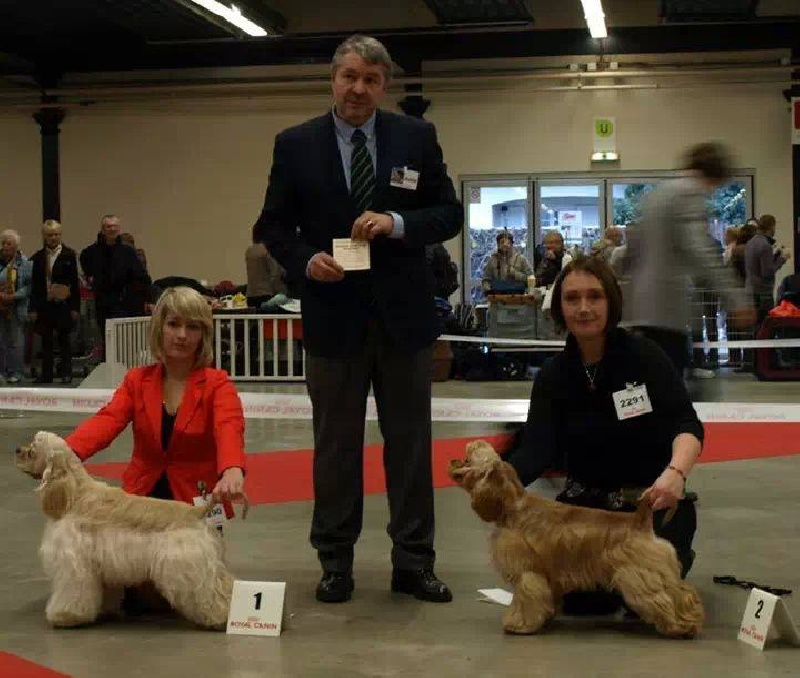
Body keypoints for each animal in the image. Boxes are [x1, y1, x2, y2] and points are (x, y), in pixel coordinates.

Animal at [15, 431, 235, 630]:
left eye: (33, 449)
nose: (17, 450)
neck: (75, 493)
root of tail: (197, 511)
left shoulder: (73, 561)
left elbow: (70, 591)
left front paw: (64, 616)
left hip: (187, 566)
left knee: (211, 594)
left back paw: (220, 619)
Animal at [448, 440, 704, 638]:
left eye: (471, 454)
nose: (452, 461)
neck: (512, 506)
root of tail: (639, 519)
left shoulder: (527, 572)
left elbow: (525, 600)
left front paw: (520, 625)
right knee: (682, 593)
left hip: (640, 575)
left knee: (666, 598)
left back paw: (682, 626)